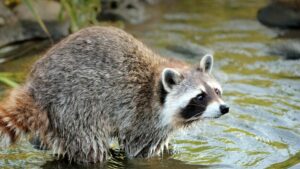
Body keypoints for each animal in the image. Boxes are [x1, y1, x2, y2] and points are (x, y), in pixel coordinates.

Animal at [0, 26, 230, 164]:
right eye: (200, 96)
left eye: (216, 91)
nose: (224, 108)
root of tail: (37, 89)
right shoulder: (142, 119)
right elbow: (138, 153)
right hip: (74, 107)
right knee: (92, 147)